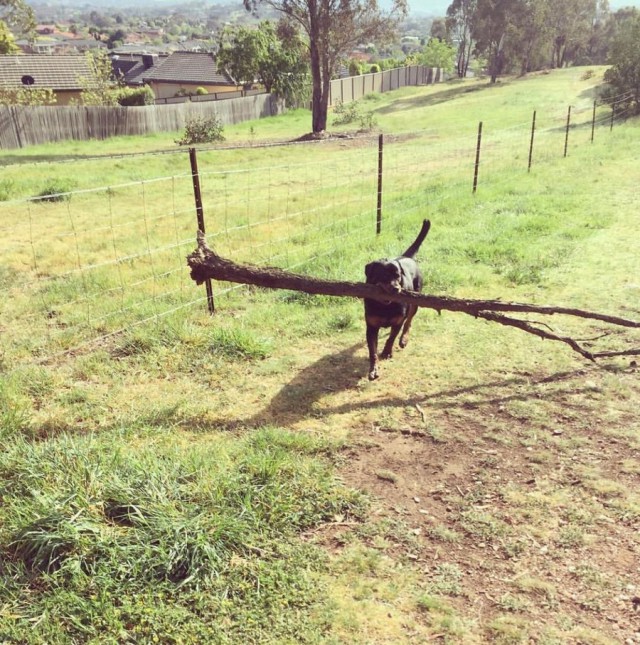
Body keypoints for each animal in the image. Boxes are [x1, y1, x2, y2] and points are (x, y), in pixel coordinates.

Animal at [364, 219, 430, 380]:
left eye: (398, 275)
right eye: (384, 276)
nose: (396, 289)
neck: (385, 306)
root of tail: (407, 257)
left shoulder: (397, 321)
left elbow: (392, 337)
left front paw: (387, 352)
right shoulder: (371, 327)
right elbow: (372, 351)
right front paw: (373, 369)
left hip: (415, 301)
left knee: (409, 321)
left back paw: (404, 339)